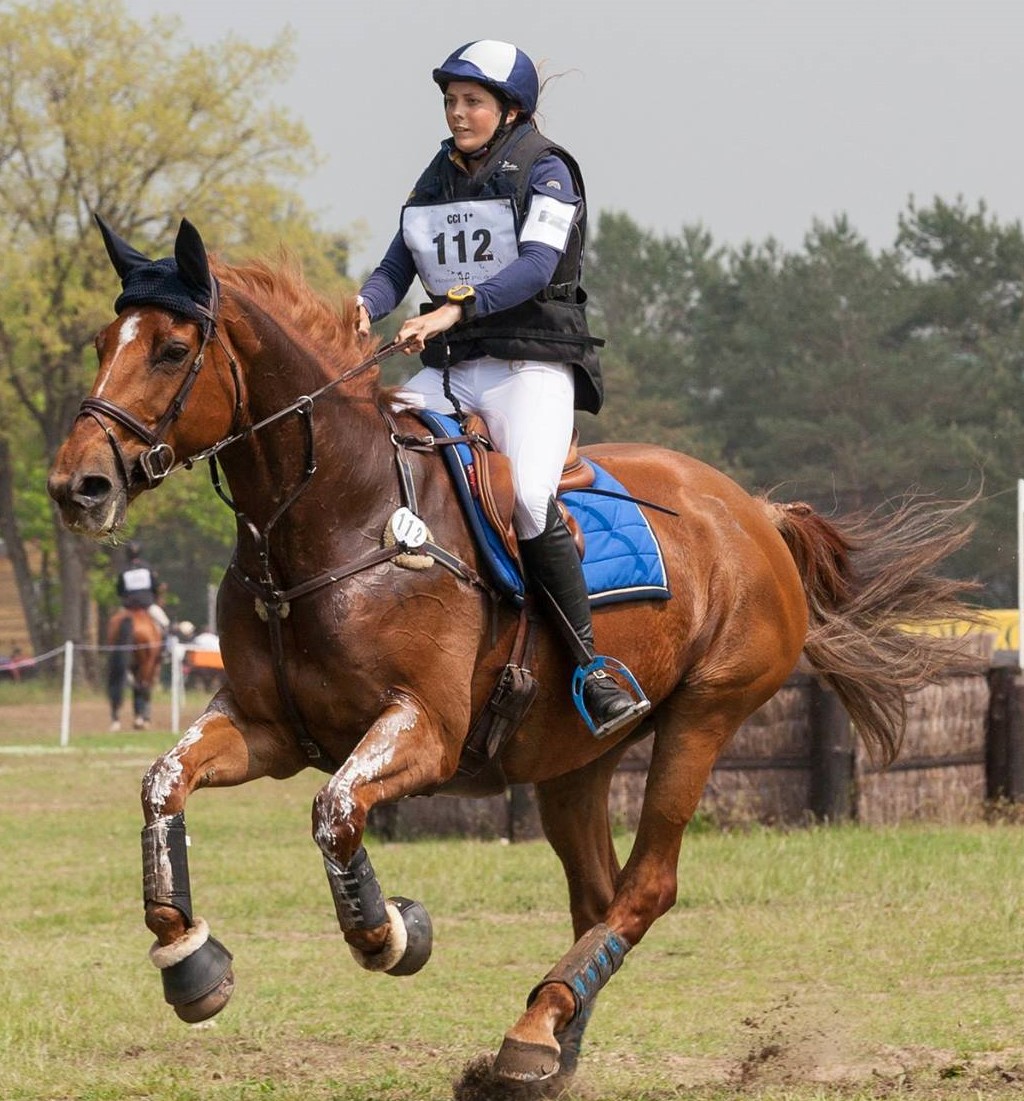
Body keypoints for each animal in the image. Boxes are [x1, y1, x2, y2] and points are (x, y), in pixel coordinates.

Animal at [104, 603, 162, 731]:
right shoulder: (151, 667)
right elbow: (145, 689)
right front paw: (144, 720)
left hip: (114, 661)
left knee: (114, 686)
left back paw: (116, 720)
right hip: (146, 664)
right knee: (142, 687)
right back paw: (140, 721)